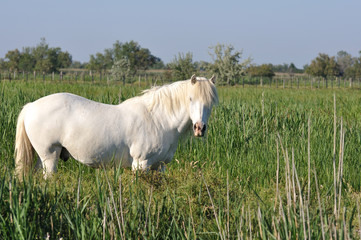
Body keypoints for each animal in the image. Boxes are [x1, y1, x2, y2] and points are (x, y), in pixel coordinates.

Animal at [14, 75, 217, 178]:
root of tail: (31, 106)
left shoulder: (160, 167)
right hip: (50, 156)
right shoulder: (141, 164)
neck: (158, 120)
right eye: (190, 99)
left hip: (42, 157)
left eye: (211, 102)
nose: (199, 128)